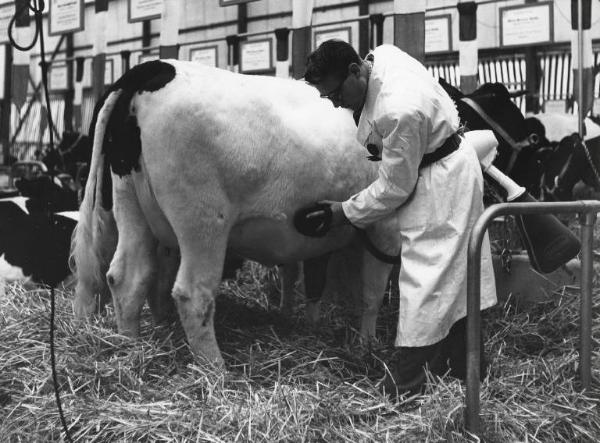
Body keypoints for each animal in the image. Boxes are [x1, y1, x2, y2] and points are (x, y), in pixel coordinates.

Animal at [71, 60, 398, 366]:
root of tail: (155, 67)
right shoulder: (382, 229)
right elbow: (371, 293)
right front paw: (366, 345)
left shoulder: (327, 237)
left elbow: (317, 282)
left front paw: (311, 325)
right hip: (203, 220)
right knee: (192, 292)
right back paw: (216, 369)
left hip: (131, 206)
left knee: (127, 277)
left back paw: (130, 347)